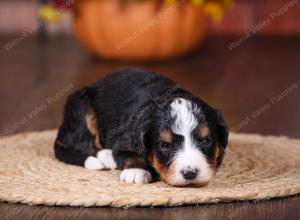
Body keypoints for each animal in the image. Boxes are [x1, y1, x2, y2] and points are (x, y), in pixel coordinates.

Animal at [54, 68, 229, 186]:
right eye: (165, 145)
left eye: (206, 141)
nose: (190, 173)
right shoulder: (125, 139)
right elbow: (130, 154)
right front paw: (136, 171)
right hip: (82, 107)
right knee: (85, 145)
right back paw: (106, 157)